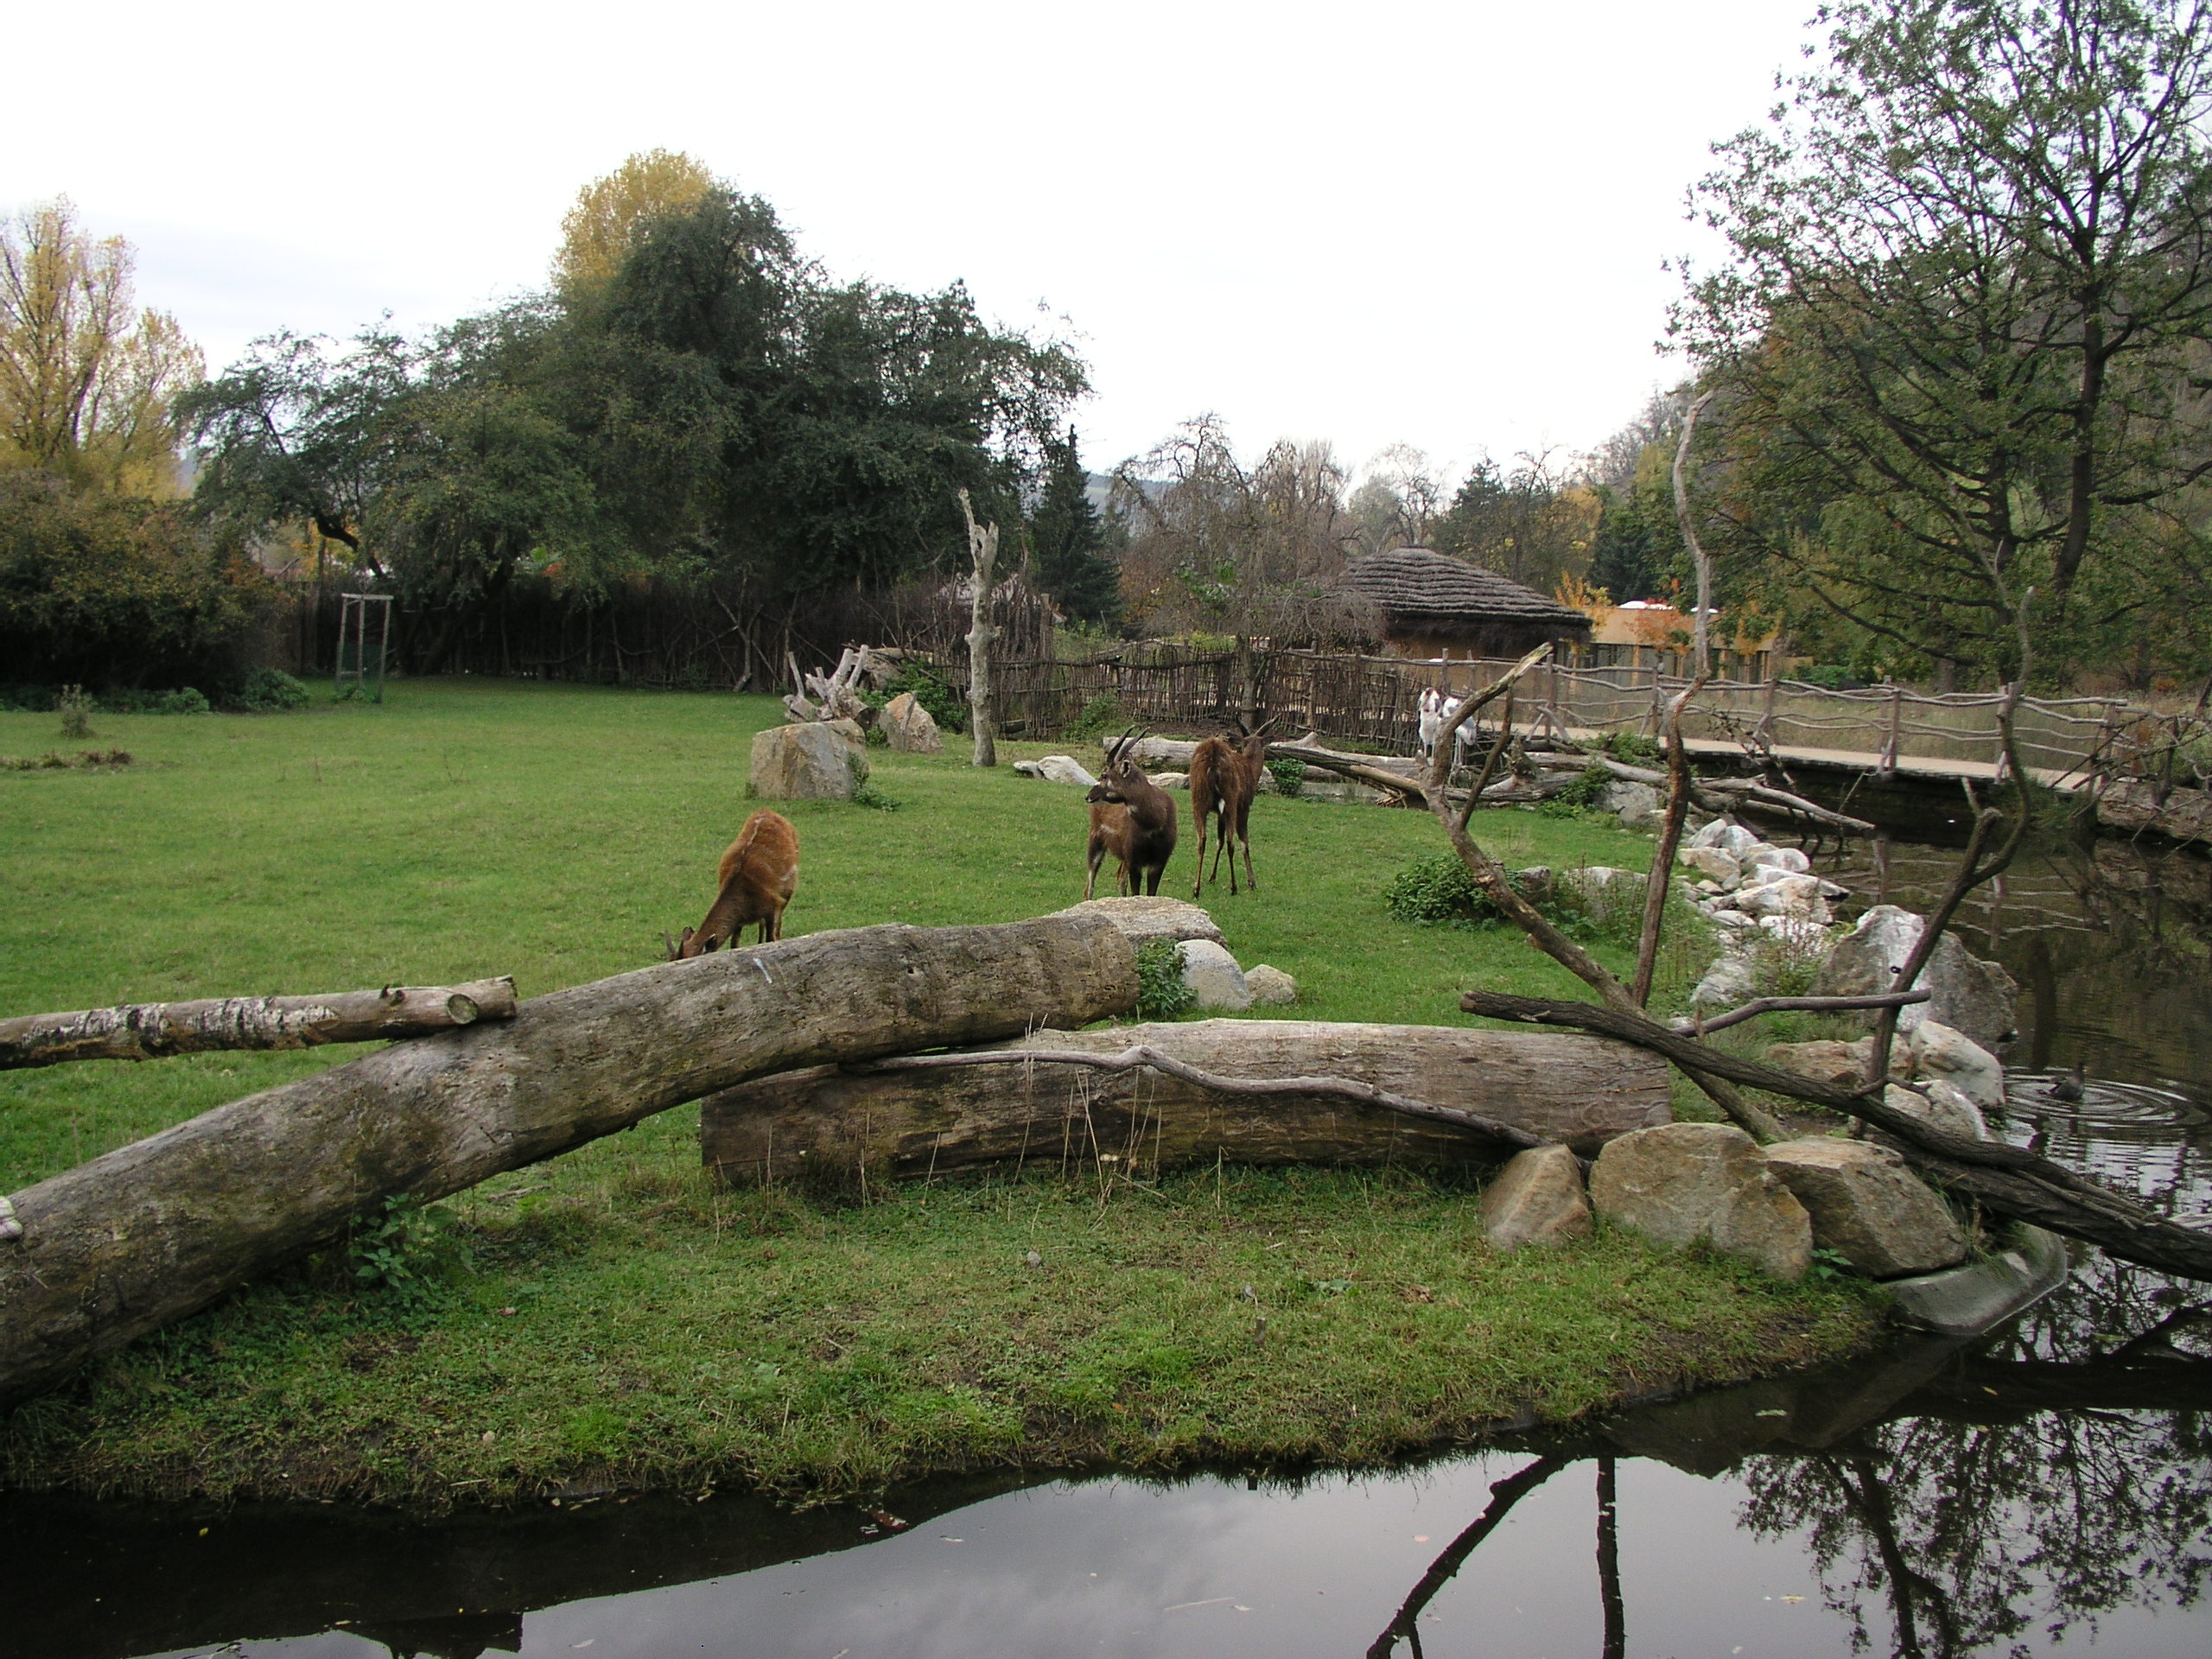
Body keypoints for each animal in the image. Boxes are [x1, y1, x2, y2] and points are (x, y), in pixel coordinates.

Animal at [663, 809, 800, 959]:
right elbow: (734, 947)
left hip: (788, 891)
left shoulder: (772, 907)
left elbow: (771, 939)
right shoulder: (738, 924)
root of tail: (767, 810)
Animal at [1084, 727, 1178, 897]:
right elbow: (1136, 894)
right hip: (1096, 840)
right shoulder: (1135, 862)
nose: (1089, 796)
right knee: (1090, 886)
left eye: (1104, 775)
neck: (1154, 824)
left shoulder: (1158, 863)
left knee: (1120, 878)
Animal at [1190, 716, 1273, 897]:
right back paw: (1234, 887)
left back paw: (1196, 889)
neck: (1251, 770)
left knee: (1202, 839)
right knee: (1231, 842)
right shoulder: (1244, 806)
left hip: (1199, 800)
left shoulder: (1219, 813)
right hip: (1231, 801)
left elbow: (1218, 841)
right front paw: (1252, 882)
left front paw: (1211, 877)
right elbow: (1244, 842)